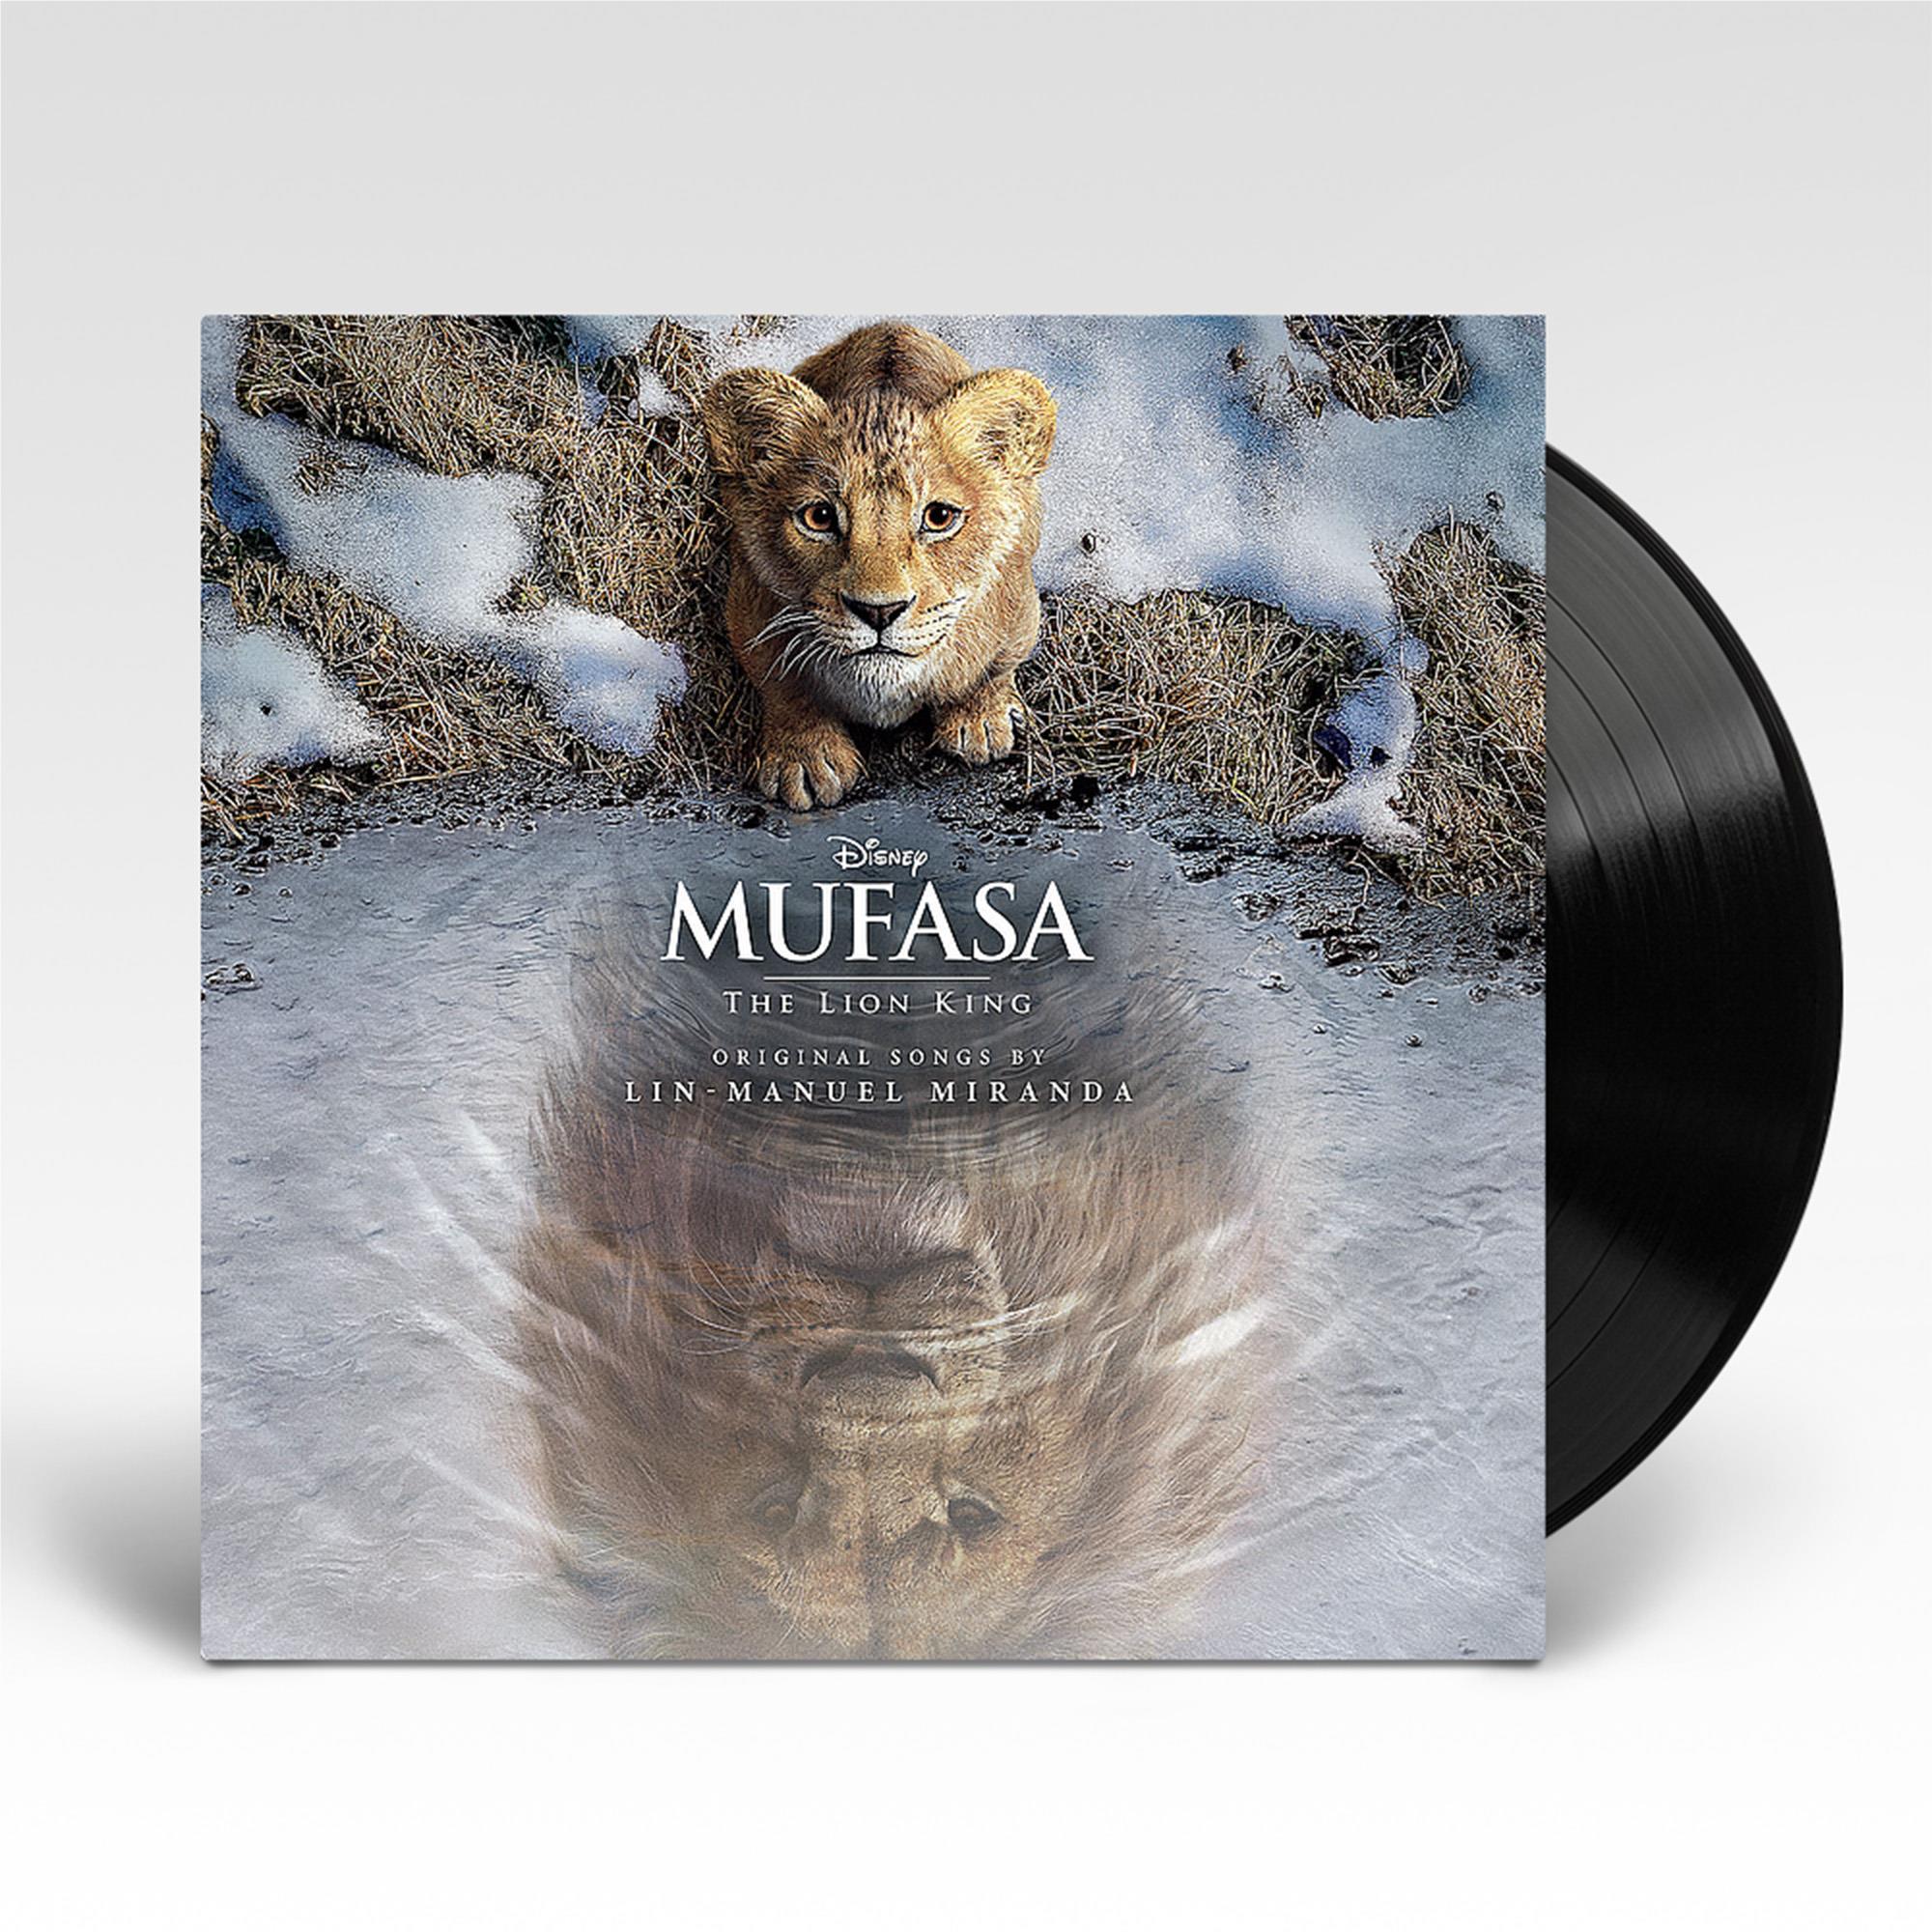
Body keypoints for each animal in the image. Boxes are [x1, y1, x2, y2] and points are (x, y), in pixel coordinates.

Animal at [699, 322, 1056, 811]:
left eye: (939, 517)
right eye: (819, 517)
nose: (879, 612)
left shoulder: (1019, 610)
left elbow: (993, 667)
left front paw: (980, 719)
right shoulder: (748, 610)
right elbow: (782, 685)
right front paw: (804, 759)